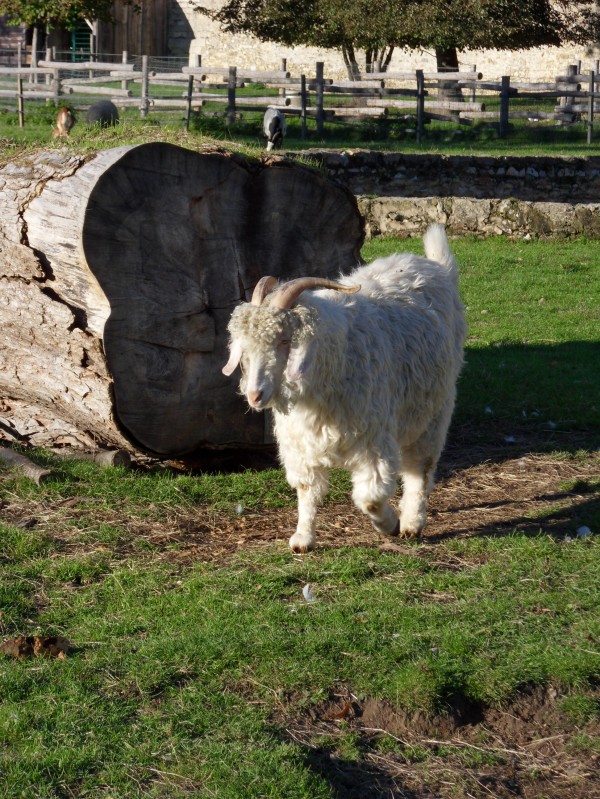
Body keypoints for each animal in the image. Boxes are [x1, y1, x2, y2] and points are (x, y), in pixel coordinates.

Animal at [222, 224, 466, 553]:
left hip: (434, 408)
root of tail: (437, 267)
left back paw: (412, 522)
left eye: (285, 340)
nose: (254, 395)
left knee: (420, 467)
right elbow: (307, 490)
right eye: (244, 347)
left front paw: (389, 524)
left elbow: (370, 498)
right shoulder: (300, 442)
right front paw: (303, 538)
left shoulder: (373, 440)